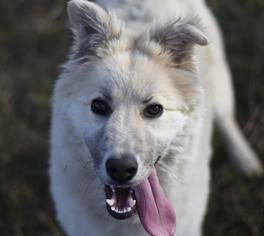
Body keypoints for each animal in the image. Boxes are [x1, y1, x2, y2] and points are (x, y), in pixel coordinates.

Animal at [49, 0, 262, 235]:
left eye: (154, 109)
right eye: (98, 106)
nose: (121, 169)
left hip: (221, 84)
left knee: (226, 121)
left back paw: (246, 160)